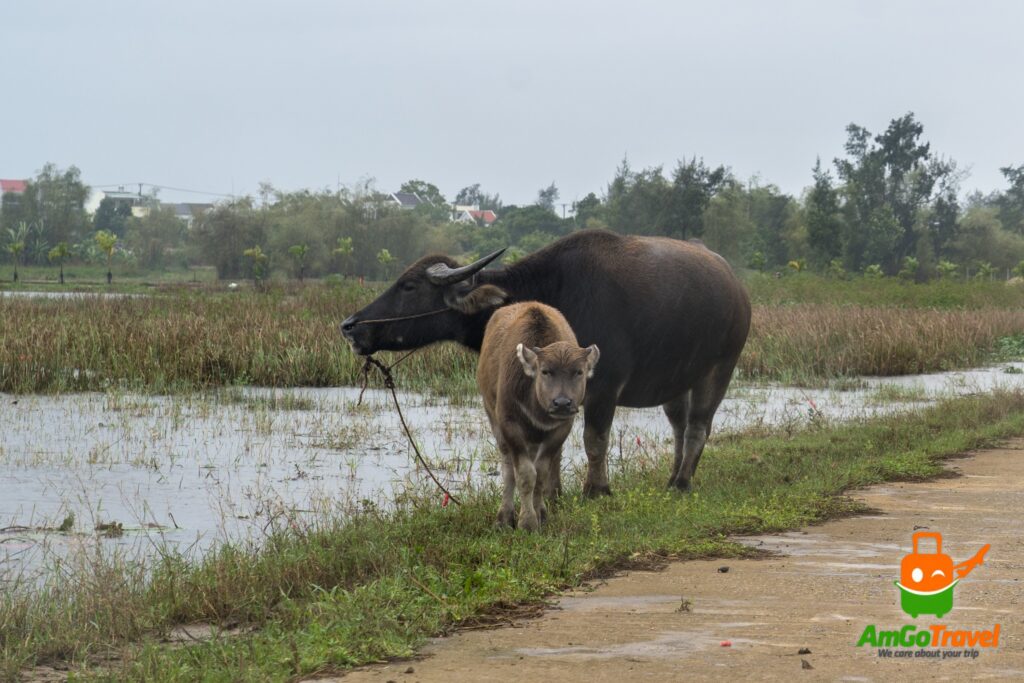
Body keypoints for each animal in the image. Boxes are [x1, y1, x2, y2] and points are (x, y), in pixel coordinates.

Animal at [342, 229, 750, 496]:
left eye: (409, 286)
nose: (350, 326)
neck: (554, 290)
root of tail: (736, 289)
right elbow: (554, 450)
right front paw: (553, 494)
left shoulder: (603, 387)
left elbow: (593, 440)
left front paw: (596, 490)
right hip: (678, 379)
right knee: (679, 425)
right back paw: (673, 476)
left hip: (721, 368)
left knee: (698, 426)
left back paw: (683, 482)